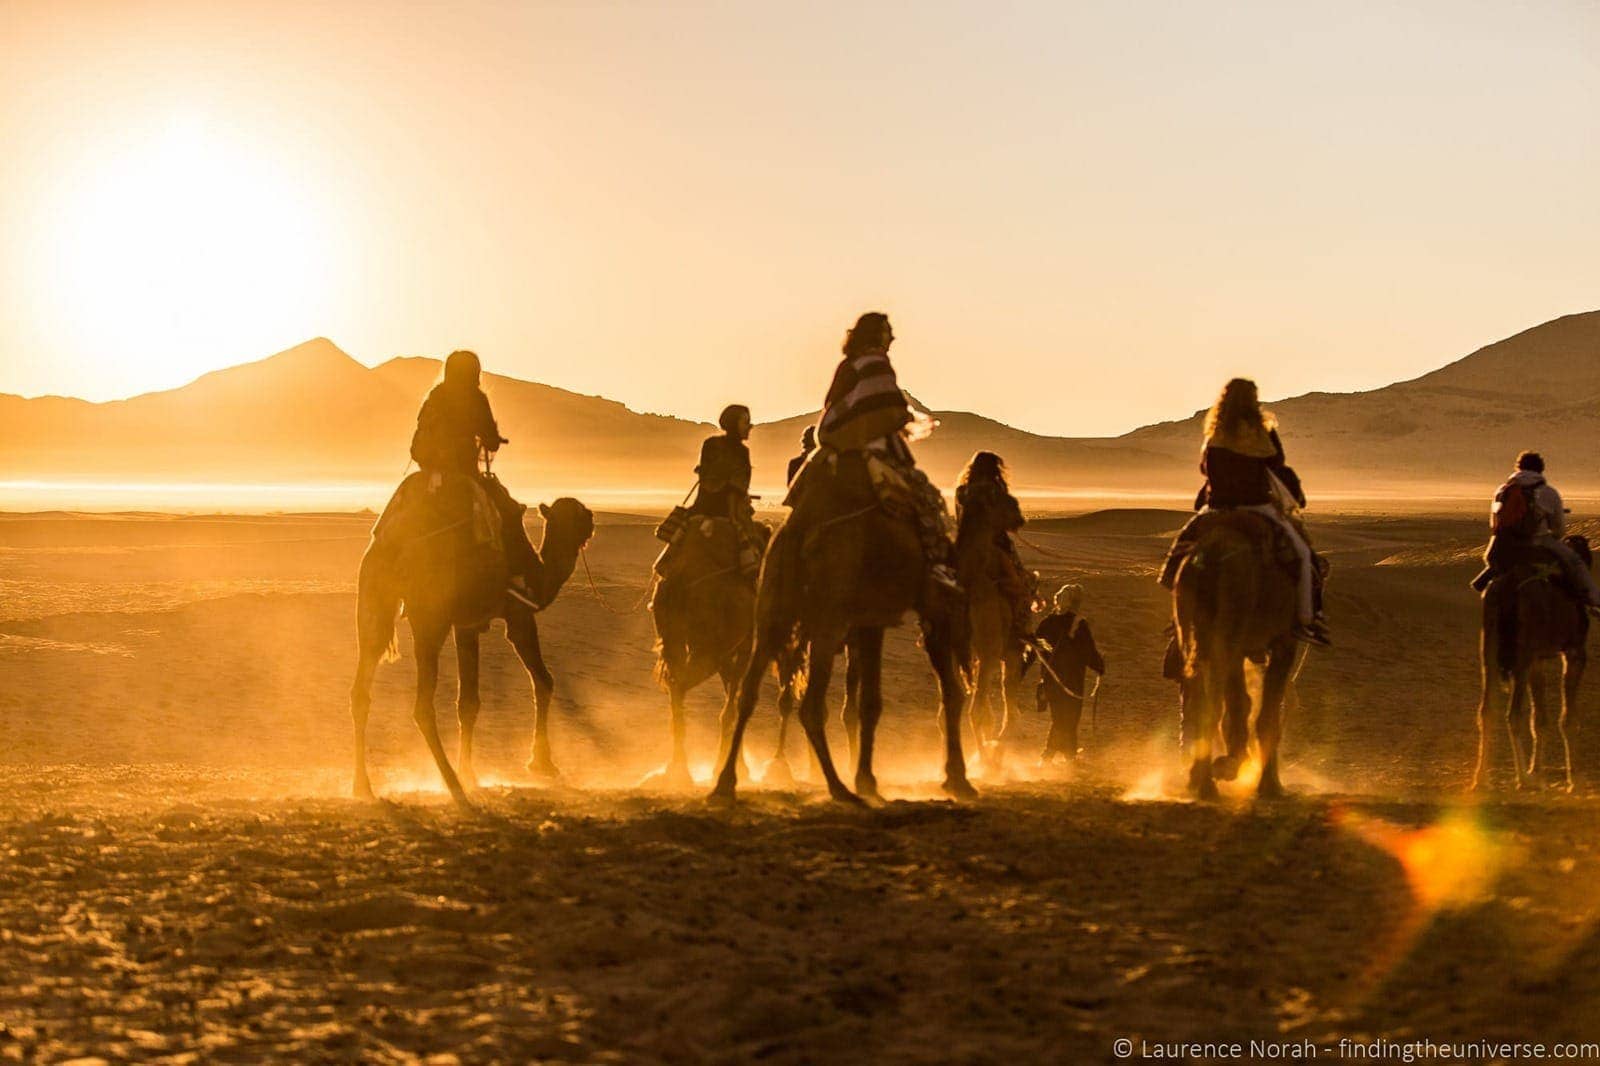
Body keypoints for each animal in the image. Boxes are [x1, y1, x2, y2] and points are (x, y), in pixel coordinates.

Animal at [350, 476, 595, 800]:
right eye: (580, 514)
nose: (592, 522)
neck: (540, 575)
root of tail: (394, 544)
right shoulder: (518, 613)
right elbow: (544, 680)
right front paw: (542, 764)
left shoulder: (466, 625)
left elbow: (468, 702)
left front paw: (470, 772)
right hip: (430, 617)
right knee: (422, 706)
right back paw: (452, 785)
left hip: (373, 598)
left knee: (361, 689)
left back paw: (362, 785)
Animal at [713, 451, 972, 806]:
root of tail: (799, 529)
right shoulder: (931, 606)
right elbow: (949, 692)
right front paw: (958, 780)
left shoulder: (870, 620)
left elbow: (869, 703)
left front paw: (868, 780)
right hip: (828, 620)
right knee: (810, 706)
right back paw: (838, 788)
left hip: (772, 614)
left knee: (748, 694)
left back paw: (725, 784)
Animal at [1171, 505, 1305, 797]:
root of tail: (1212, 551)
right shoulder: (1283, 643)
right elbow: (1267, 715)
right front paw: (1270, 785)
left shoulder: (1241, 647)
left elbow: (1240, 703)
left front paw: (1233, 763)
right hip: (1229, 628)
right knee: (1213, 701)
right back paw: (1207, 783)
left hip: (1192, 629)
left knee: (1199, 695)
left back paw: (1198, 778)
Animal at [1472, 531, 1587, 787]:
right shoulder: (1574, 652)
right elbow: (1568, 719)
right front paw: (1574, 780)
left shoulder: (1538, 661)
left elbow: (1540, 718)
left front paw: (1538, 770)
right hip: (1522, 652)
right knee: (1513, 714)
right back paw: (1523, 779)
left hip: (1489, 647)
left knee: (1487, 709)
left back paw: (1481, 779)